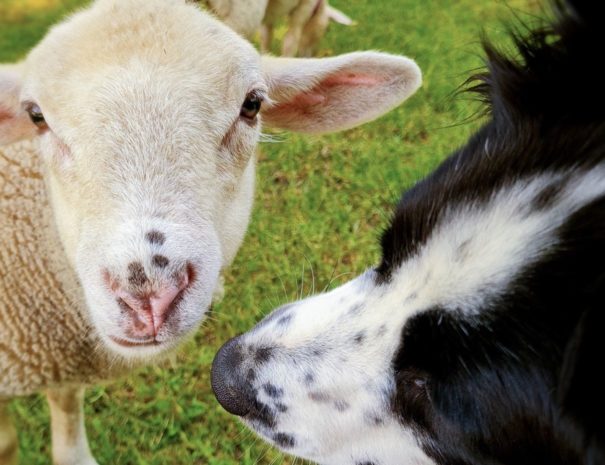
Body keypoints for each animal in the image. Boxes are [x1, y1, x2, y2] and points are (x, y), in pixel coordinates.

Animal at [204, 0, 354, 55]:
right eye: (327, 29)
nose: (310, 56)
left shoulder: (268, 16)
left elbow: (266, 37)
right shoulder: (303, 9)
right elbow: (290, 43)